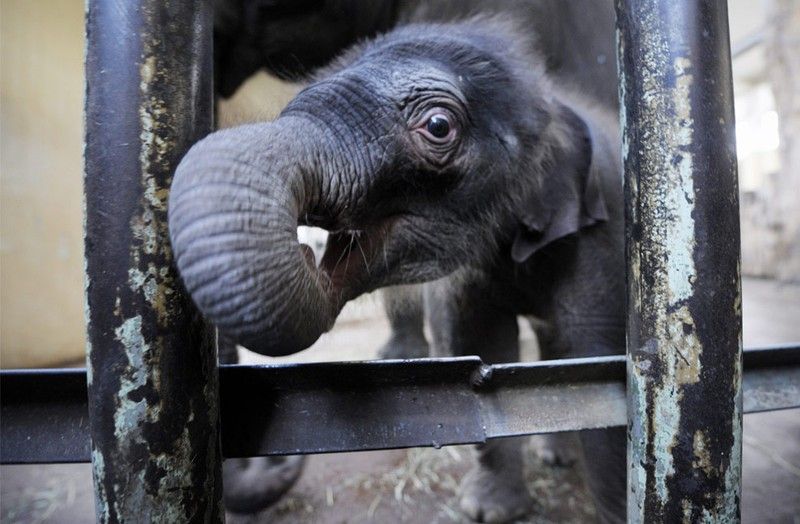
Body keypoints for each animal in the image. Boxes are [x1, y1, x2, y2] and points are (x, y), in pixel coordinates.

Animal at [170, 16, 624, 524]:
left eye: (439, 126)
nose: (307, 249)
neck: (547, 100)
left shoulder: (599, 240)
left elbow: (602, 370)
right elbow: (482, 345)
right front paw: (488, 510)